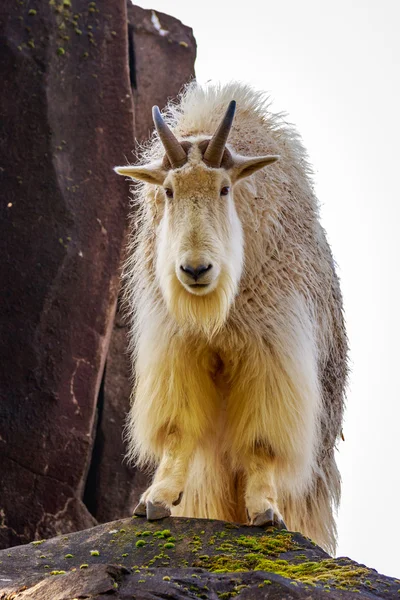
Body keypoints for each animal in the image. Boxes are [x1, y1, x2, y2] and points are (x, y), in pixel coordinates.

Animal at [115, 81, 346, 552]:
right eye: (170, 191)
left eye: (224, 189)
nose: (195, 270)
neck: (215, 314)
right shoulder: (177, 346)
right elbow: (178, 429)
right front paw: (156, 499)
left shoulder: (272, 347)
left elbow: (261, 441)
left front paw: (265, 510)